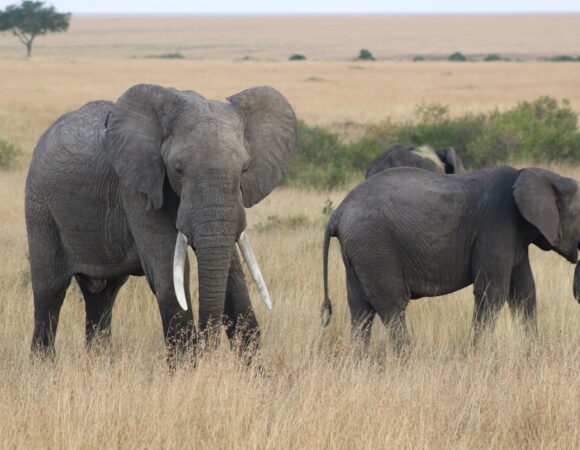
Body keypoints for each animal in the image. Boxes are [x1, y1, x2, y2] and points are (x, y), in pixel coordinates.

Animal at [24, 81, 296, 362]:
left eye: (244, 170)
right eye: (178, 170)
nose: (207, 347)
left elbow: (235, 283)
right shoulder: (138, 189)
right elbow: (169, 279)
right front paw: (188, 370)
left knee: (103, 295)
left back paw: (99, 364)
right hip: (39, 206)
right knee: (49, 290)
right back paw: (43, 367)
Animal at [322, 165, 580, 352]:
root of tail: (337, 214)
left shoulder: (515, 240)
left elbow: (524, 292)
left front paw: (533, 351)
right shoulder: (497, 227)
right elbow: (492, 292)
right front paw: (478, 355)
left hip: (358, 252)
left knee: (360, 309)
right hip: (374, 247)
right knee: (392, 305)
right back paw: (407, 362)